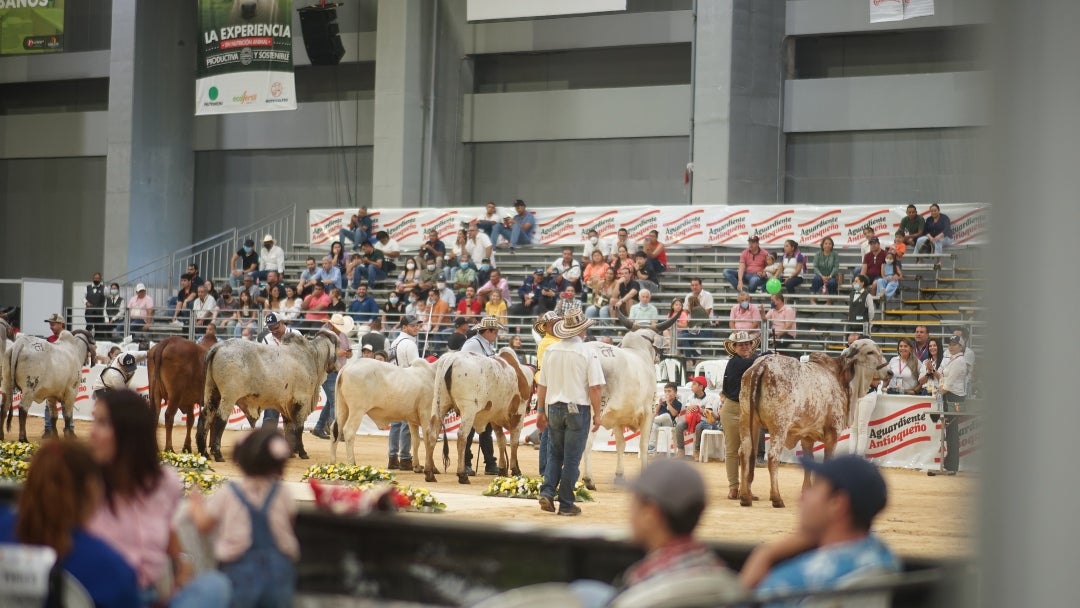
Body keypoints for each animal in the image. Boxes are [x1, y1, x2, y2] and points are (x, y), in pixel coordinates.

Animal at [201, 330, 336, 464]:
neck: (312, 355)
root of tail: (220, 345)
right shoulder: (301, 401)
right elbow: (299, 427)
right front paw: (302, 452)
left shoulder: (287, 405)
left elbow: (288, 428)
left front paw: (291, 453)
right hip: (229, 397)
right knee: (220, 419)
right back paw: (217, 454)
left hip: (212, 392)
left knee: (205, 417)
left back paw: (204, 453)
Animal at [425, 347, 535, 485]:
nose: (529, 408)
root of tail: (452, 358)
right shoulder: (518, 415)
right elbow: (514, 442)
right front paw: (515, 470)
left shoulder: (494, 419)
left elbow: (501, 441)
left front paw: (502, 469)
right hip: (468, 410)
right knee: (462, 436)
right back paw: (462, 474)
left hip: (439, 404)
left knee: (432, 434)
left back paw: (429, 473)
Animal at [583, 308, 673, 490]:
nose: (660, 357)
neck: (638, 350)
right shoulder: (649, 412)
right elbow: (643, 444)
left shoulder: (617, 417)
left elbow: (621, 444)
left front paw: (619, 475)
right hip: (594, 411)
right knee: (586, 442)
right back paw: (588, 479)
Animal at [738, 343, 889, 509]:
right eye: (870, 352)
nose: (890, 372)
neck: (838, 377)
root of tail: (762, 364)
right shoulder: (833, 433)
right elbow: (827, 461)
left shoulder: (806, 436)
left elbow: (809, 462)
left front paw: (807, 491)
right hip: (779, 426)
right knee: (772, 456)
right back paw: (776, 498)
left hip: (747, 420)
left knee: (745, 452)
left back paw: (745, 496)